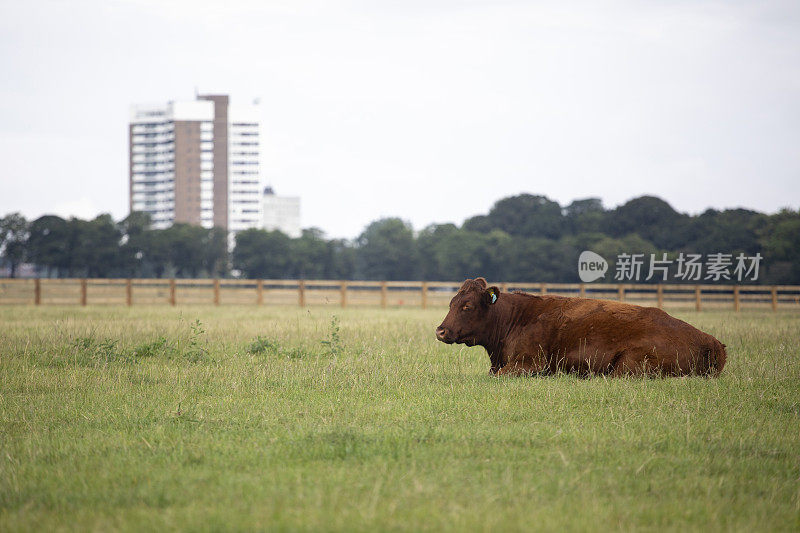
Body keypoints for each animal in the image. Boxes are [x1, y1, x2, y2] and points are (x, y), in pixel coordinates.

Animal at [434, 276, 728, 376]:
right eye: (451, 302)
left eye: (467, 306)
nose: (441, 330)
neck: (515, 318)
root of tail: (710, 341)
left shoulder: (530, 363)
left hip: (627, 365)